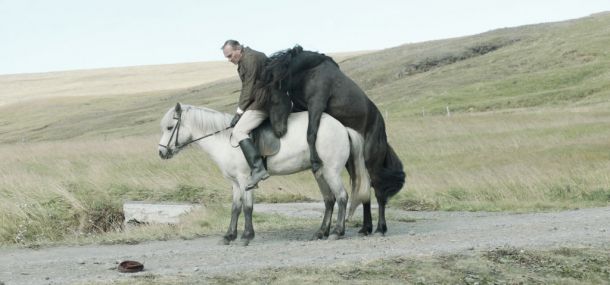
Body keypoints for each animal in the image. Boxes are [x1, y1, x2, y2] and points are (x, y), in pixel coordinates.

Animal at [157, 103, 368, 245]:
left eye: (169, 128)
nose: (161, 153)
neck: (226, 140)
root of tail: (342, 127)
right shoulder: (235, 183)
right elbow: (235, 208)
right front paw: (229, 236)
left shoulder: (245, 180)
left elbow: (248, 208)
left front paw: (246, 236)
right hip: (320, 172)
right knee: (329, 200)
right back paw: (320, 232)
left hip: (331, 171)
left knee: (342, 197)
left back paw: (337, 232)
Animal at [260, 45, 404, 234]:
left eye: (274, 100)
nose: (278, 131)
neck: (310, 70)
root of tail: (382, 128)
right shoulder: (302, 106)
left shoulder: (316, 104)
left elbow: (310, 132)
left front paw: (314, 161)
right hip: (353, 163)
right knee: (364, 189)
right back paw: (366, 227)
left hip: (372, 163)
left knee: (378, 192)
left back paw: (380, 228)